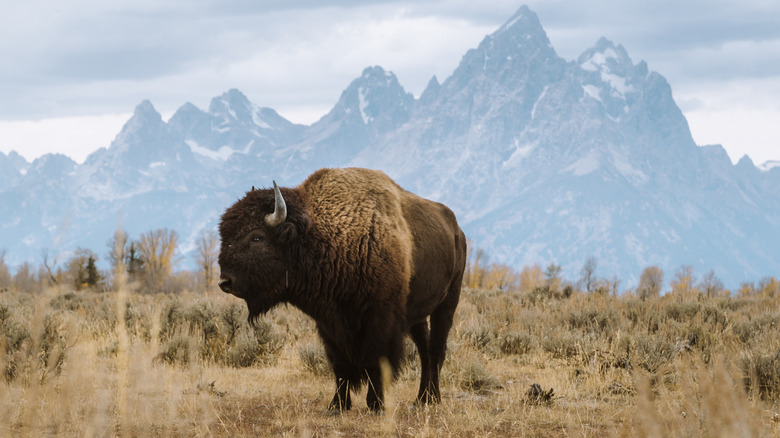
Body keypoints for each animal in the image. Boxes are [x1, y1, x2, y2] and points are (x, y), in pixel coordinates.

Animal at [217, 167, 466, 413]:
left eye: (256, 237)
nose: (224, 281)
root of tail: (457, 231)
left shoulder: (380, 319)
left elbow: (376, 360)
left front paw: (375, 405)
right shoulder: (329, 323)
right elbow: (340, 365)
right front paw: (337, 405)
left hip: (447, 303)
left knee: (436, 349)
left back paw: (431, 399)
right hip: (417, 314)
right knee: (425, 350)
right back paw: (422, 399)